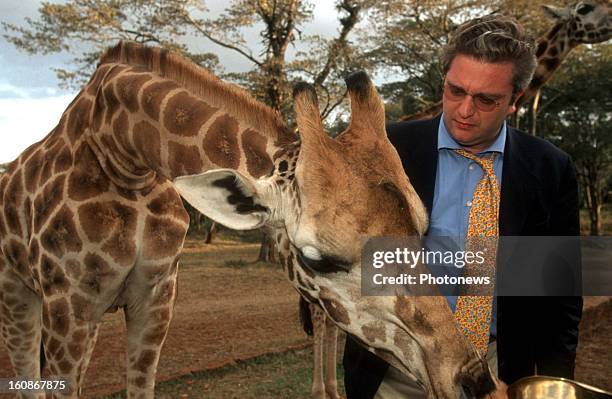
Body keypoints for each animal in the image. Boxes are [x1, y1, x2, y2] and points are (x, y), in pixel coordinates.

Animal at [0, 41, 504, 399]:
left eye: (422, 230)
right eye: (318, 260)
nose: (474, 380)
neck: (123, 155)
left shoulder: (153, 303)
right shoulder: (70, 306)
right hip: (22, 300)